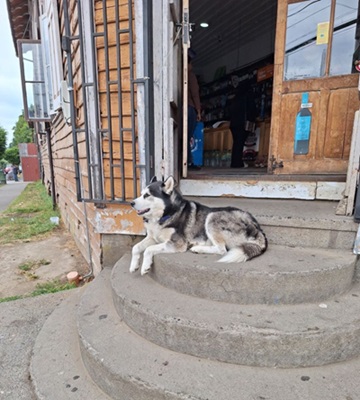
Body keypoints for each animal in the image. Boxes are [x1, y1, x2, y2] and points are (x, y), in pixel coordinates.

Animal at [129, 176, 268, 276]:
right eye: (141, 194)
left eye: (147, 195)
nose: (131, 203)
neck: (166, 214)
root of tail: (258, 228)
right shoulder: (152, 238)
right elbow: (136, 247)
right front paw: (133, 265)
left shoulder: (177, 243)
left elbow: (148, 249)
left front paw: (145, 266)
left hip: (212, 216)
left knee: (221, 250)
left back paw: (198, 248)